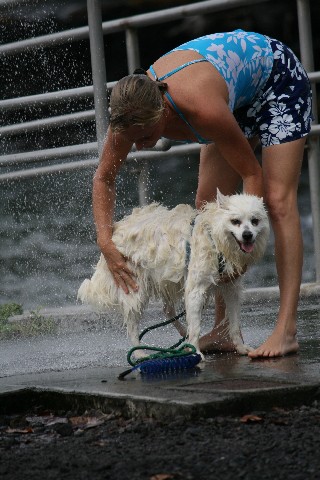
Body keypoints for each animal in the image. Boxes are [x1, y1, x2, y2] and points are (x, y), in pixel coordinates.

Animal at [78, 191, 270, 356]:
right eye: (235, 221)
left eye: (255, 221)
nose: (247, 235)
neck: (215, 239)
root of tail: (115, 230)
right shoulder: (195, 290)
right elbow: (196, 326)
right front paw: (196, 352)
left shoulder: (231, 288)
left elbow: (235, 323)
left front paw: (241, 347)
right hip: (134, 286)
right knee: (133, 325)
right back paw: (139, 353)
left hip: (166, 280)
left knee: (167, 310)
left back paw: (182, 335)